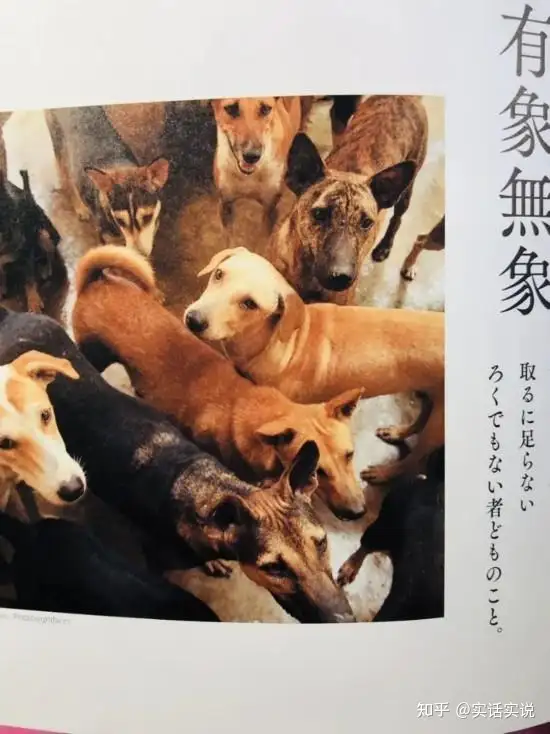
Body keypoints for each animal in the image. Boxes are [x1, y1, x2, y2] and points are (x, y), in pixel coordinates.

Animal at [0, 169, 68, 320]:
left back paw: (46, 271)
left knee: (49, 256)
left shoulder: (27, 250)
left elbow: (29, 280)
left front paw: (34, 305)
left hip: (44, 235)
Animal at [44, 106, 170, 257]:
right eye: (120, 221)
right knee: (66, 176)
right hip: (59, 142)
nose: (138, 255)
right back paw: (79, 206)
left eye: (147, 217)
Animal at [72, 245, 368, 521]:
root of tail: (97, 279)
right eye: (319, 470)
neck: (252, 412)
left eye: (350, 455)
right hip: (92, 353)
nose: (359, 512)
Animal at [185, 247, 444, 484]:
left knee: (416, 460)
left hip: (436, 430)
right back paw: (397, 432)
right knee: (421, 420)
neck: (279, 343)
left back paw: (384, 473)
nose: (193, 320)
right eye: (219, 274)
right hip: (431, 399)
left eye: (250, 304)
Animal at [268, 95, 428, 304]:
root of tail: (406, 96)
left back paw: (384, 247)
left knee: (397, 218)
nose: (341, 277)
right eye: (319, 214)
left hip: (407, 192)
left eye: (367, 223)